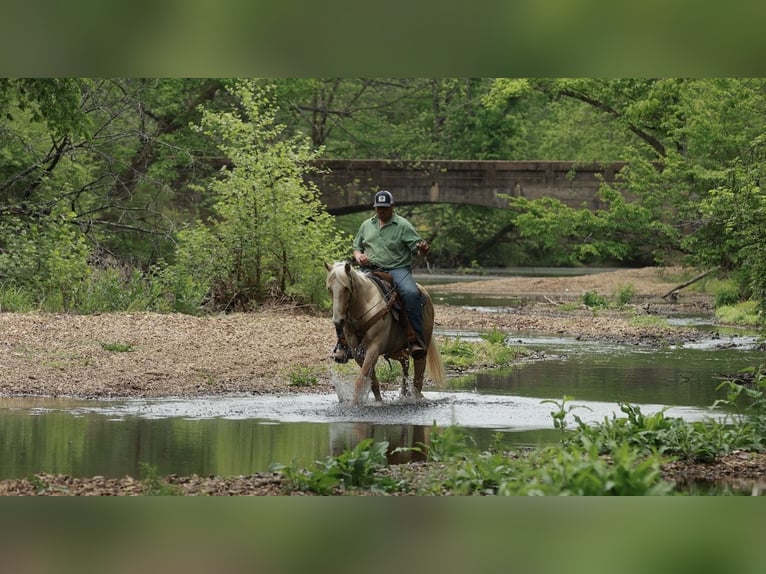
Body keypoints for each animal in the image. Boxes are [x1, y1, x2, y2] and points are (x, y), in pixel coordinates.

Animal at [325, 261, 446, 405]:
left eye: (346, 288)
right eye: (329, 289)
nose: (338, 320)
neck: (364, 306)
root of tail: (424, 293)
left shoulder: (374, 349)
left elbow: (361, 380)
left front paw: (354, 404)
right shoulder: (357, 352)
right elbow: (372, 381)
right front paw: (378, 402)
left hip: (421, 348)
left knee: (418, 376)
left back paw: (415, 398)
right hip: (394, 349)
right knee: (405, 360)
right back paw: (404, 394)